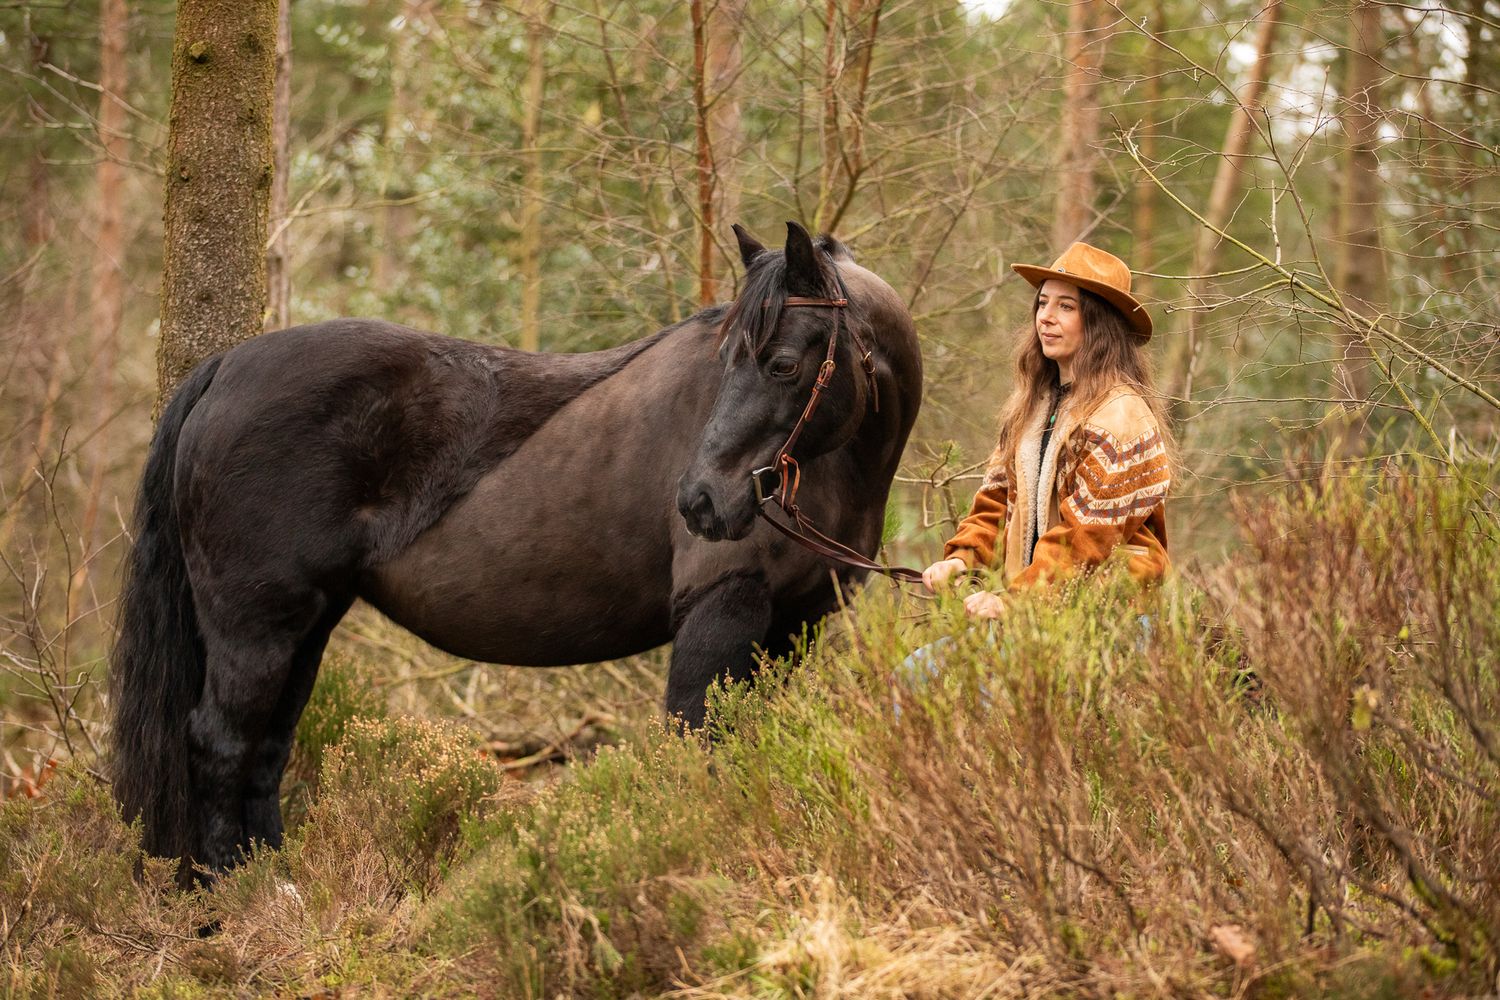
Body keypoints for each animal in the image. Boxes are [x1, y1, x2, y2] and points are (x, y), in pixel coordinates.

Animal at [110, 221, 922, 881]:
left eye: (781, 363)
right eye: (729, 360)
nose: (700, 502)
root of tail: (225, 369)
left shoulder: (794, 626)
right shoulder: (721, 611)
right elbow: (698, 744)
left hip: (304, 627)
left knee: (267, 746)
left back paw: (270, 876)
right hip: (256, 628)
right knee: (220, 741)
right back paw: (231, 891)